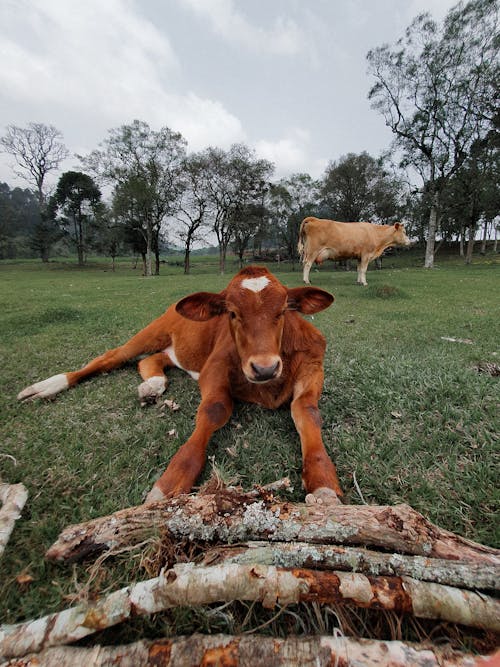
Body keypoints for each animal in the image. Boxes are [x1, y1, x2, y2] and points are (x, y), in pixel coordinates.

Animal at [16, 266, 344, 506]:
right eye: (232, 313)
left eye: (283, 311)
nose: (264, 367)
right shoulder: (214, 369)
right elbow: (214, 409)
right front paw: (170, 482)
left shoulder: (313, 367)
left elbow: (307, 411)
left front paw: (323, 482)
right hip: (151, 332)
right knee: (111, 357)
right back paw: (47, 386)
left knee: (154, 359)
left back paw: (152, 385)